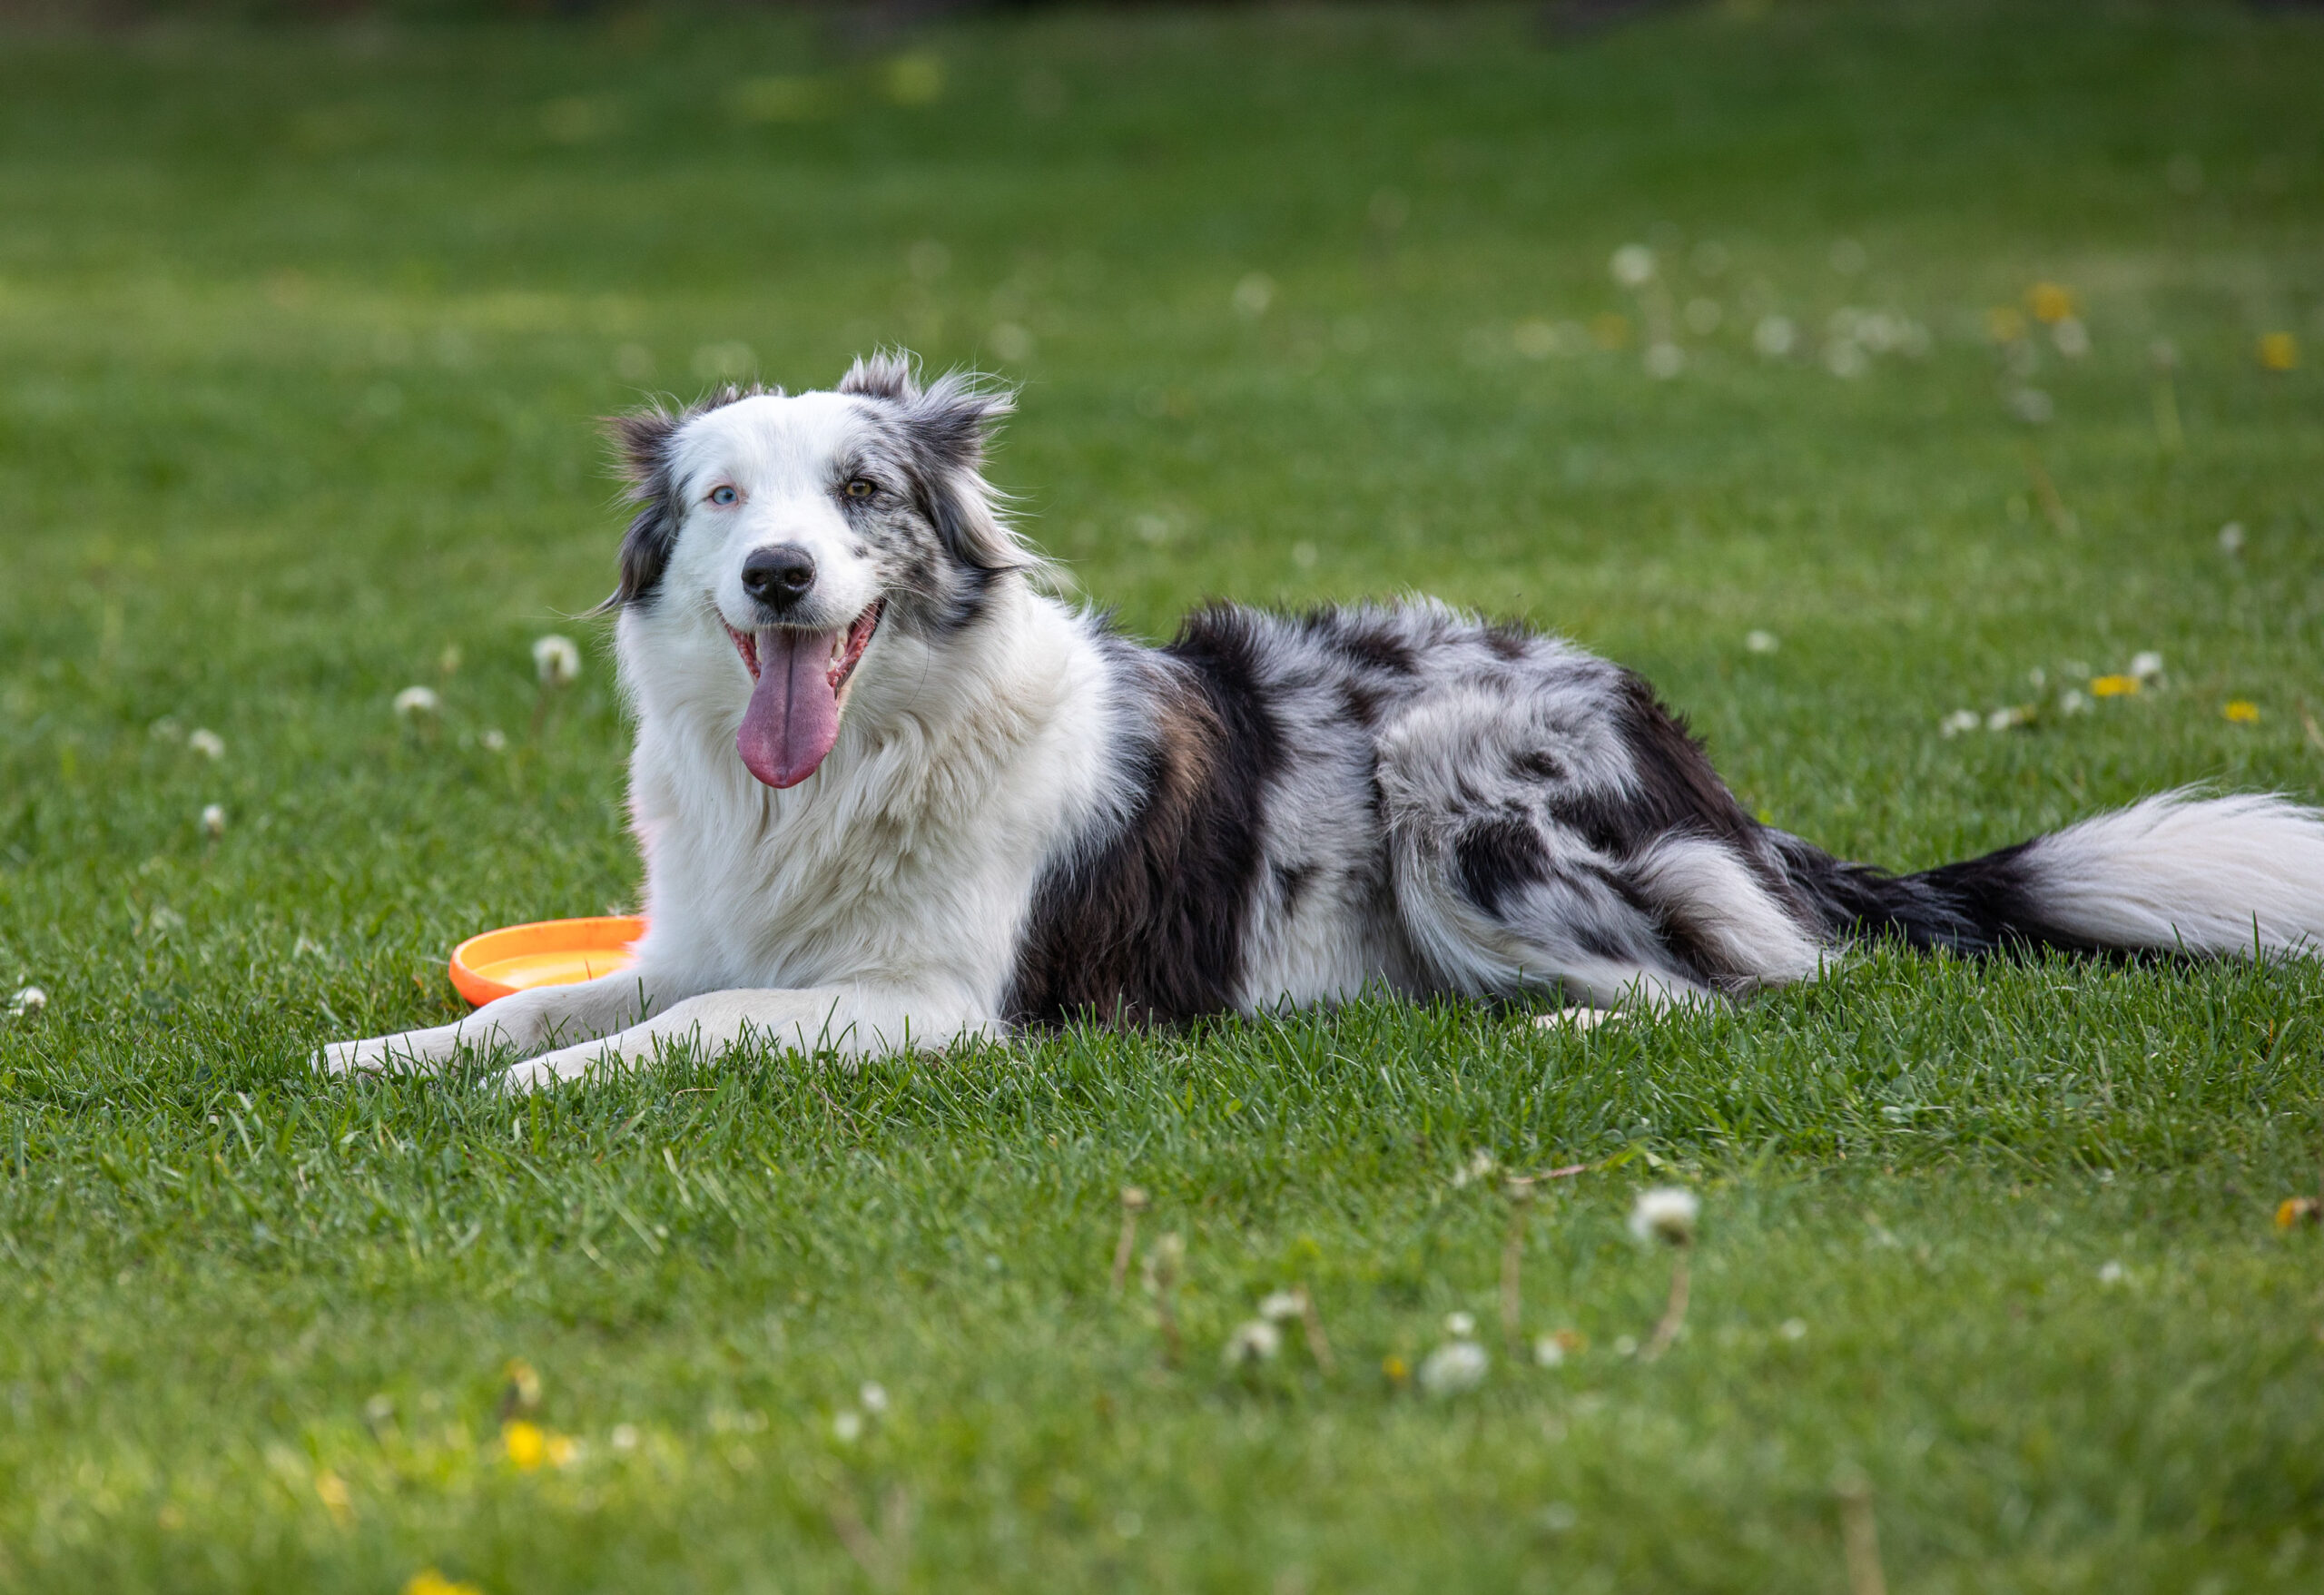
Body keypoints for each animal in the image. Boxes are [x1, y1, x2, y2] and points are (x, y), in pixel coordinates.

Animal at [322, 355, 2324, 1092]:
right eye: (725, 499)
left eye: (863, 492)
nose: (782, 576)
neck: (871, 748)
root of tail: (1708, 777)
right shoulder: (705, 926)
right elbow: (582, 990)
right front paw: (395, 1053)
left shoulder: (931, 1001)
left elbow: (692, 1027)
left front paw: (534, 1089)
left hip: (1455, 775)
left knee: (1733, 988)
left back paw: (1537, 1025)